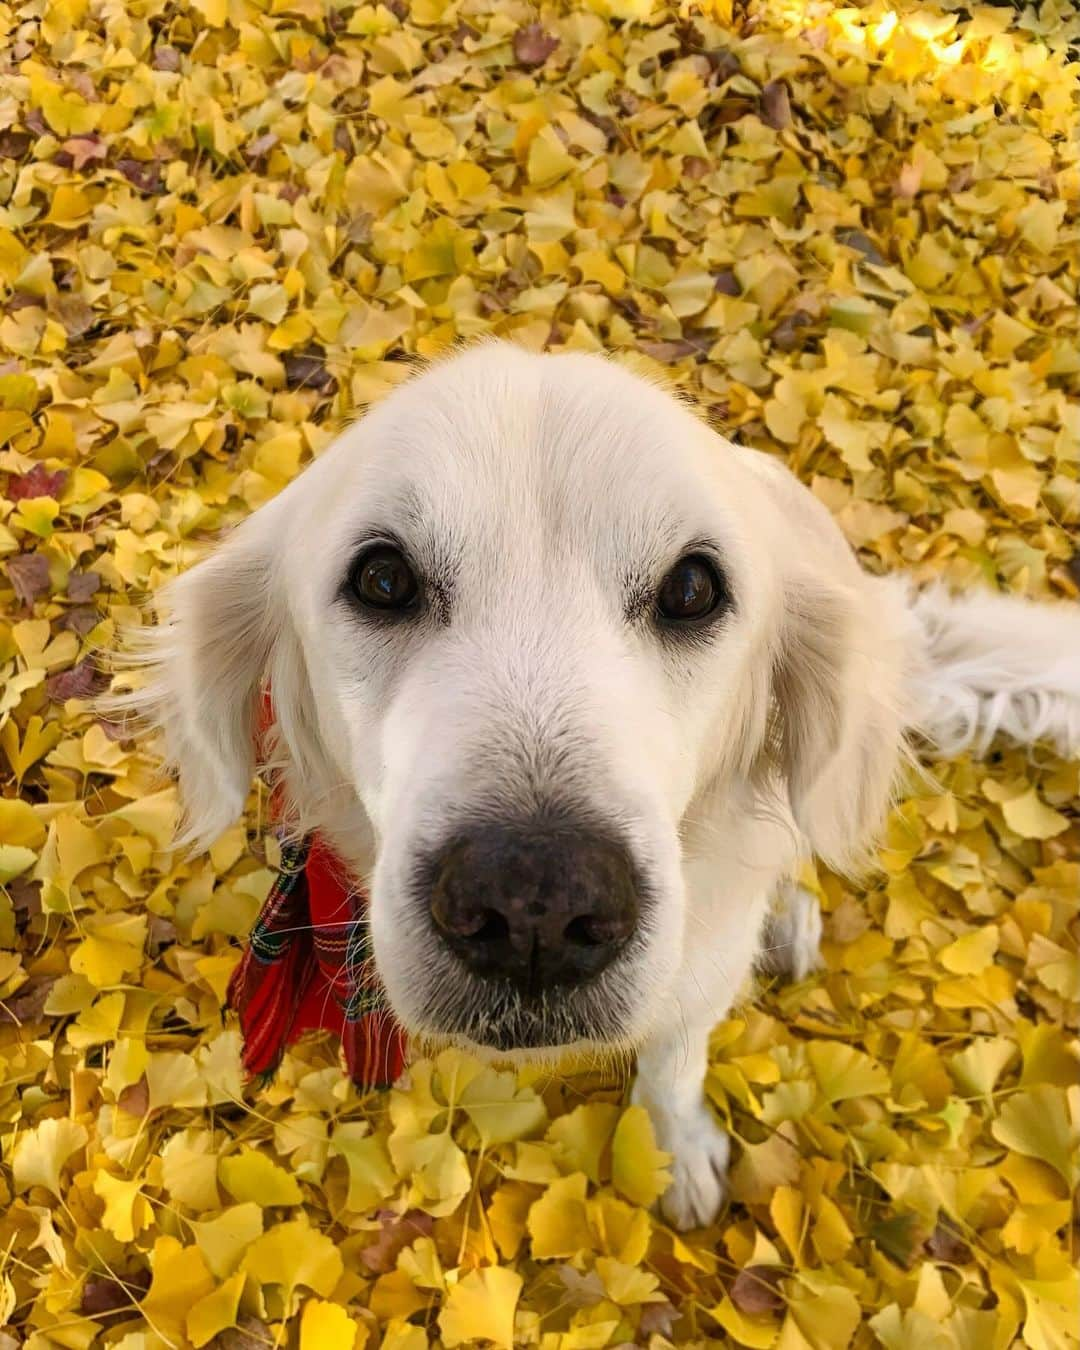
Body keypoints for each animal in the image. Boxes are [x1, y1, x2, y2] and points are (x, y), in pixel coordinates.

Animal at [116, 342, 1080, 1231]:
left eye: (692, 587)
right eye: (382, 578)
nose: (533, 906)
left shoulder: (697, 965)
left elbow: (675, 1054)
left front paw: (674, 1148)